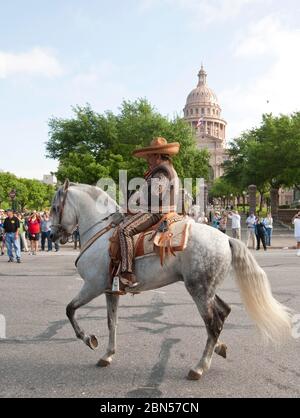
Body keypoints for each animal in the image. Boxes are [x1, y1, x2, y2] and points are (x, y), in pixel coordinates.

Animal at [50, 181, 292, 380]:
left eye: (54, 208)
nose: (52, 236)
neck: (101, 233)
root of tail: (226, 238)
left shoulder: (92, 286)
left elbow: (69, 310)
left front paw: (88, 338)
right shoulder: (111, 289)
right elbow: (112, 322)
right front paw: (108, 355)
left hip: (198, 290)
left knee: (213, 323)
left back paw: (199, 367)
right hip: (206, 288)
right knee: (223, 312)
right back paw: (219, 348)